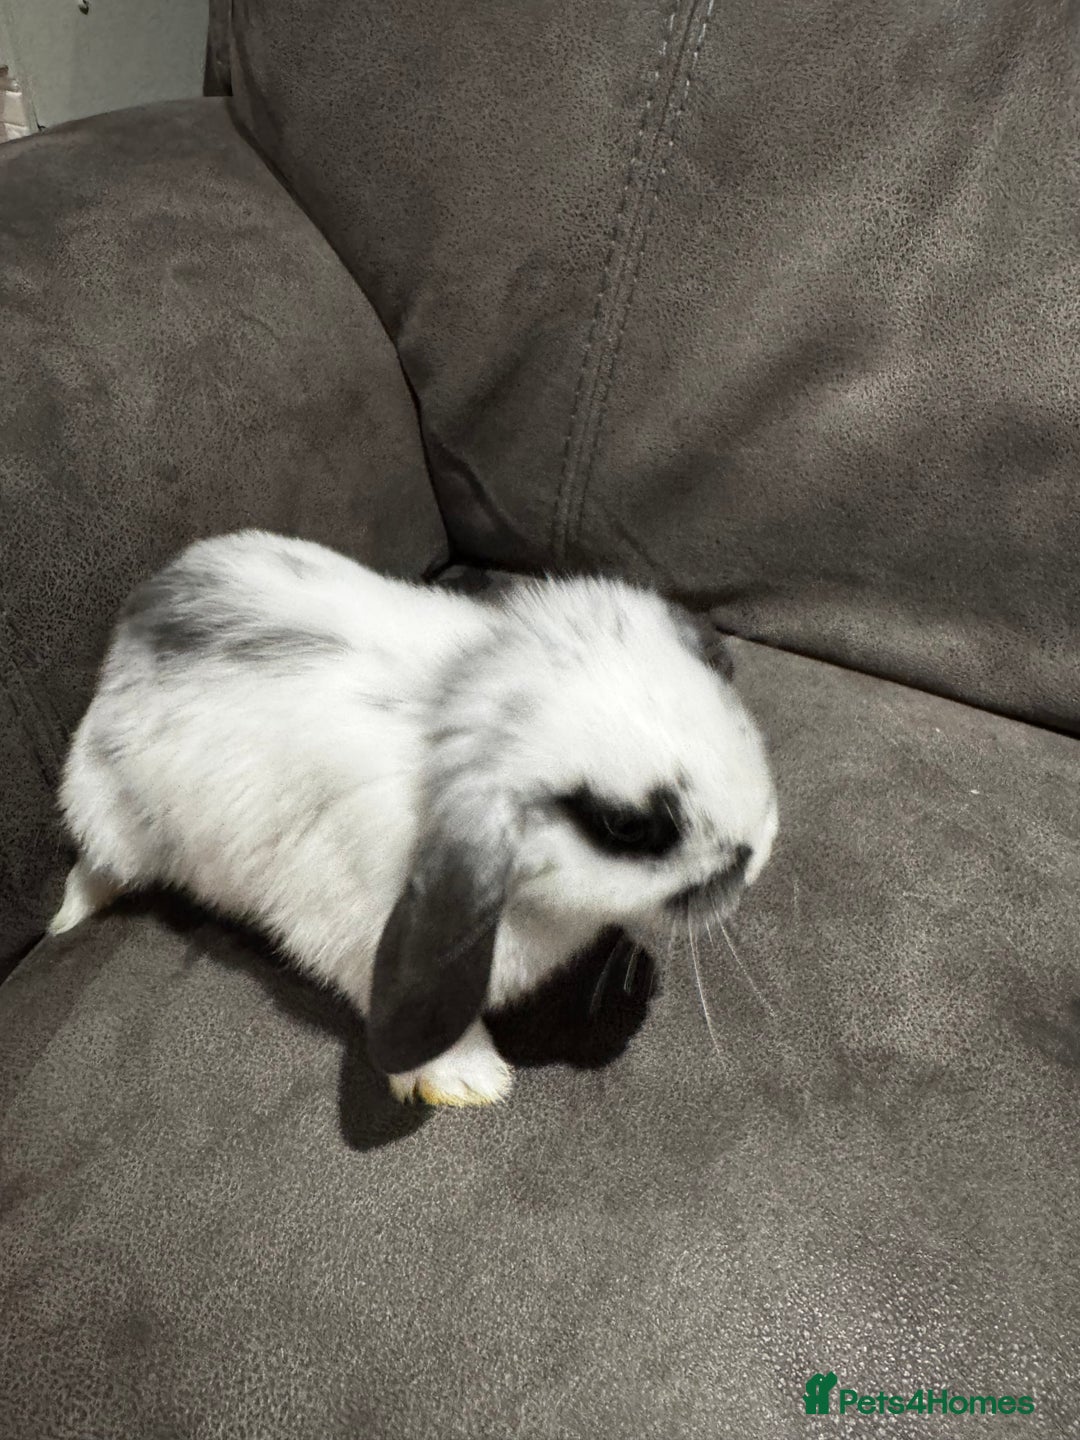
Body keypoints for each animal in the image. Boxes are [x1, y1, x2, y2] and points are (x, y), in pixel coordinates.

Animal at [51, 530, 779, 1107]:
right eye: (625, 827)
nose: (759, 852)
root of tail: (133, 623)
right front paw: (470, 1081)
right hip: (110, 818)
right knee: (95, 866)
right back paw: (68, 918)